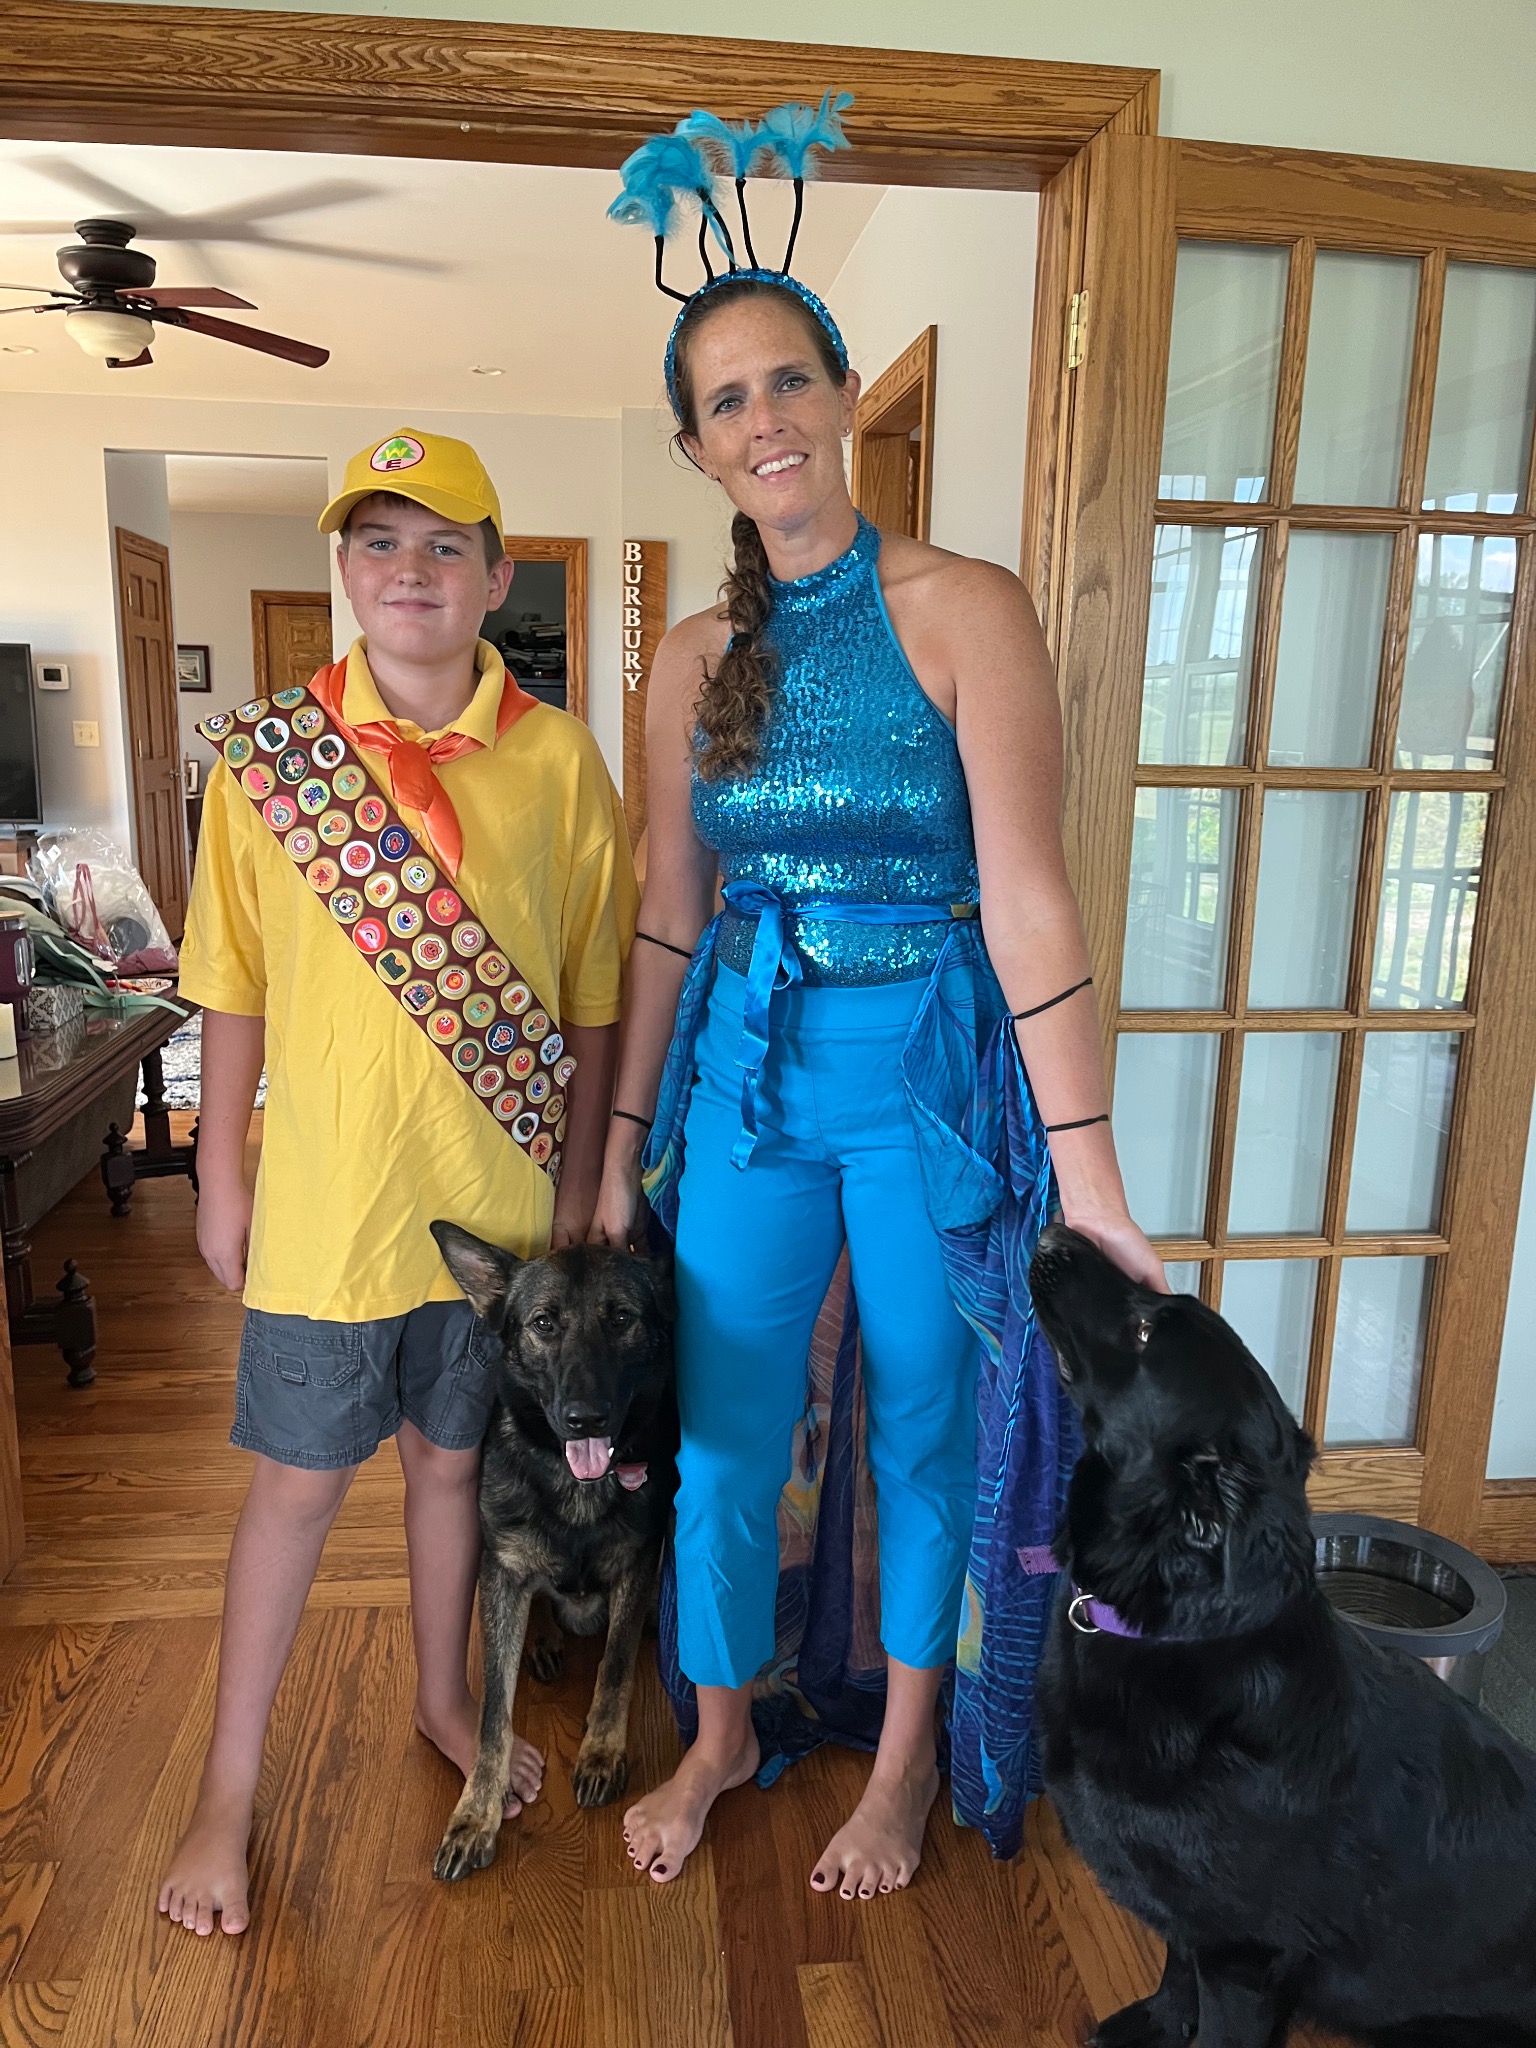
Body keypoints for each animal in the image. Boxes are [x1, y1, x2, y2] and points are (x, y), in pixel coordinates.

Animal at [429, 1225, 678, 1883]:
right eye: (544, 1322)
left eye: (621, 1319)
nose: (583, 1419)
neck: (575, 1486)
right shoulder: (500, 1572)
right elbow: (493, 1715)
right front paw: (476, 1814)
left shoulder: (637, 1564)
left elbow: (614, 1670)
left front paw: (600, 1753)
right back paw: (541, 1638)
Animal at [1029, 1221, 1536, 2048]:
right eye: (1157, 1299)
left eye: (1143, 1331)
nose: (1054, 1232)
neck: (1172, 1631)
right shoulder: (1191, 1922)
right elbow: (1174, 1970)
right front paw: (1155, 2025)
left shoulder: (1244, 1953)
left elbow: (1214, 2021)